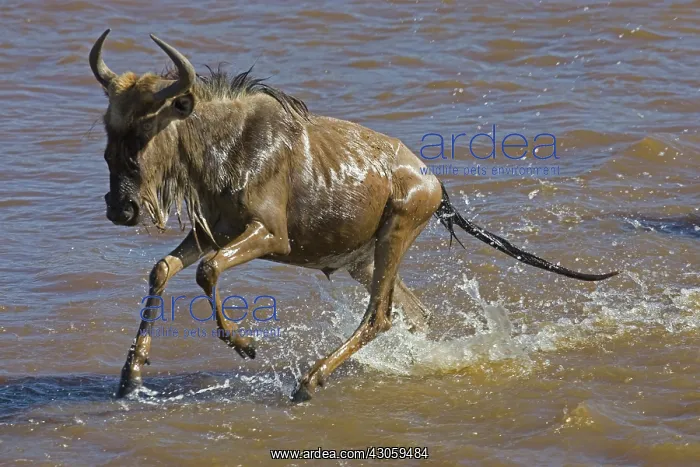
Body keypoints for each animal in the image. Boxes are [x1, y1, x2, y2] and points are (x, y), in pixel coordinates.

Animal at [89, 30, 618, 402]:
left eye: (143, 133)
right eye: (109, 130)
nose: (121, 209)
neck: (229, 144)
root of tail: (434, 184)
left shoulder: (268, 235)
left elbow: (207, 271)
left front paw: (244, 344)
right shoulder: (213, 231)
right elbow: (162, 270)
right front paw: (131, 373)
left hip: (395, 233)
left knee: (380, 315)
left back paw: (309, 381)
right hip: (363, 258)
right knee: (415, 313)